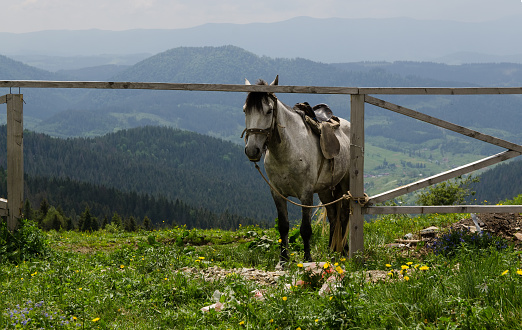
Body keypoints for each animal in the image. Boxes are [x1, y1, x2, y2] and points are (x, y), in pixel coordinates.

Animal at [243, 76, 350, 262]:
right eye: (245, 111)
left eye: (269, 111)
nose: (252, 150)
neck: (289, 150)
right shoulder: (277, 193)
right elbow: (283, 226)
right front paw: (283, 259)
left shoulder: (306, 194)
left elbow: (305, 229)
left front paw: (307, 258)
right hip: (325, 190)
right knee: (333, 216)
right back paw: (331, 251)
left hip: (345, 183)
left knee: (343, 216)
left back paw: (344, 251)